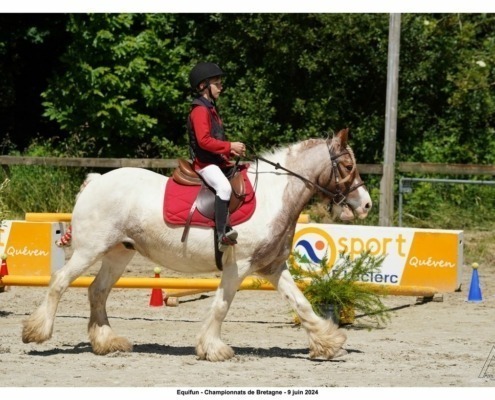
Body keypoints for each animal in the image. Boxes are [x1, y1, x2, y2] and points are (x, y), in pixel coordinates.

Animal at [22, 129, 372, 362]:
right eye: (348, 166)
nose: (366, 205)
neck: (275, 195)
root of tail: (96, 181)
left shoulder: (272, 266)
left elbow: (300, 303)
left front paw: (327, 342)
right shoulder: (239, 265)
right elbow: (221, 305)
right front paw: (213, 348)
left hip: (118, 253)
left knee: (97, 291)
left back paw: (106, 342)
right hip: (89, 250)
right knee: (60, 281)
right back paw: (37, 332)